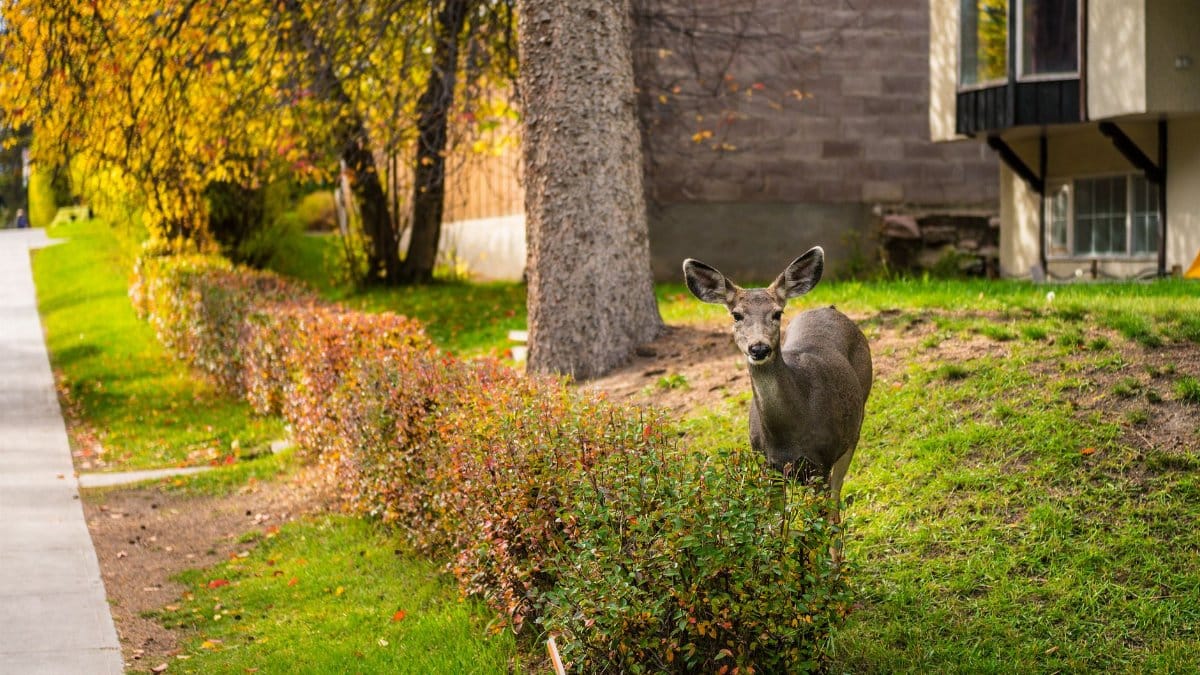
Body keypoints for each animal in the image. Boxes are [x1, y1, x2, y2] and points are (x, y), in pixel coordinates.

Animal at [682, 247, 872, 524]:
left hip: (854, 427)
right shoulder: (766, 465)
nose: (759, 348)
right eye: (736, 314)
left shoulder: (821, 463)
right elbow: (774, 524)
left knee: (836, 504)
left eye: (777, 313)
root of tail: (831, 308)